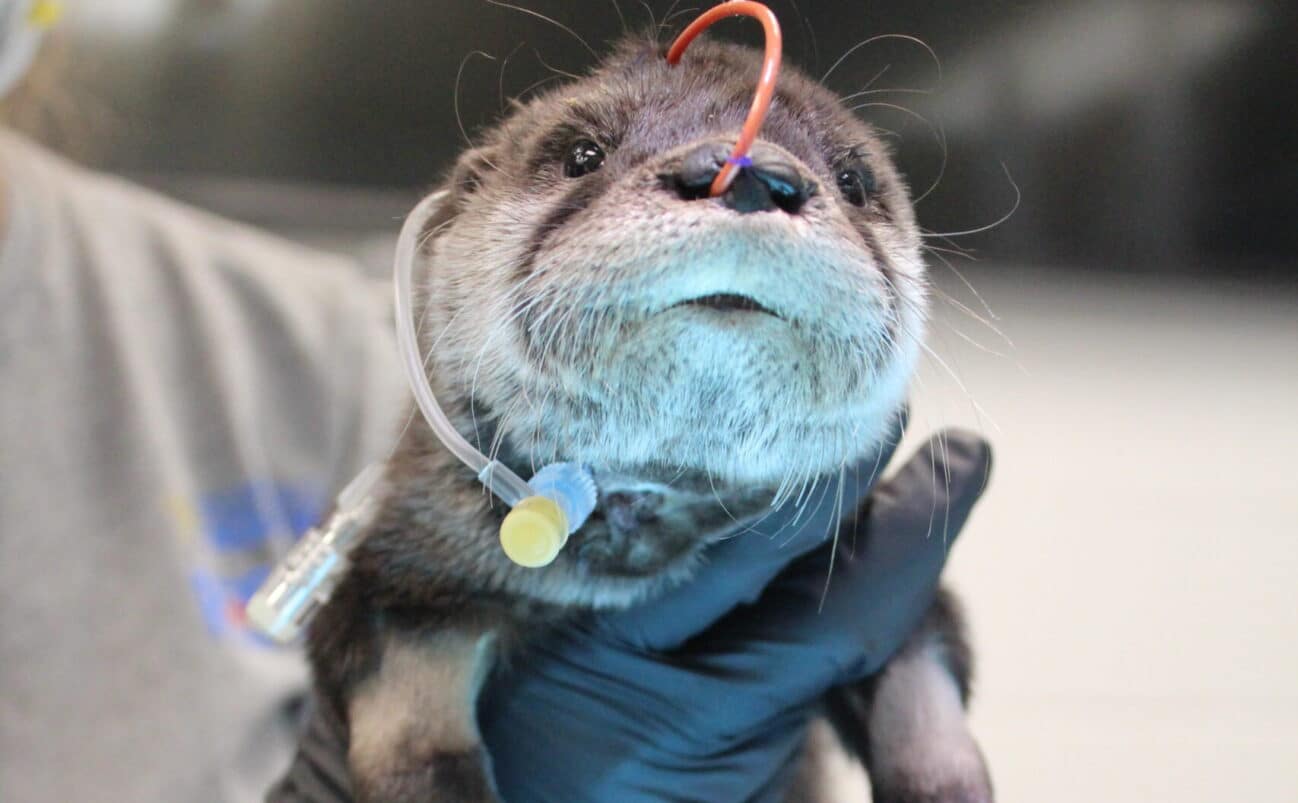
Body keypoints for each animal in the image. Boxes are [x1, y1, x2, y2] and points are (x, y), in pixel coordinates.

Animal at [307, 35, 992, 802]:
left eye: (852, 179)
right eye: (583, 154)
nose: (750, 176)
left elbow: (926, 665)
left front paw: (944, 779)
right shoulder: (403, 566)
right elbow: (405, 702)